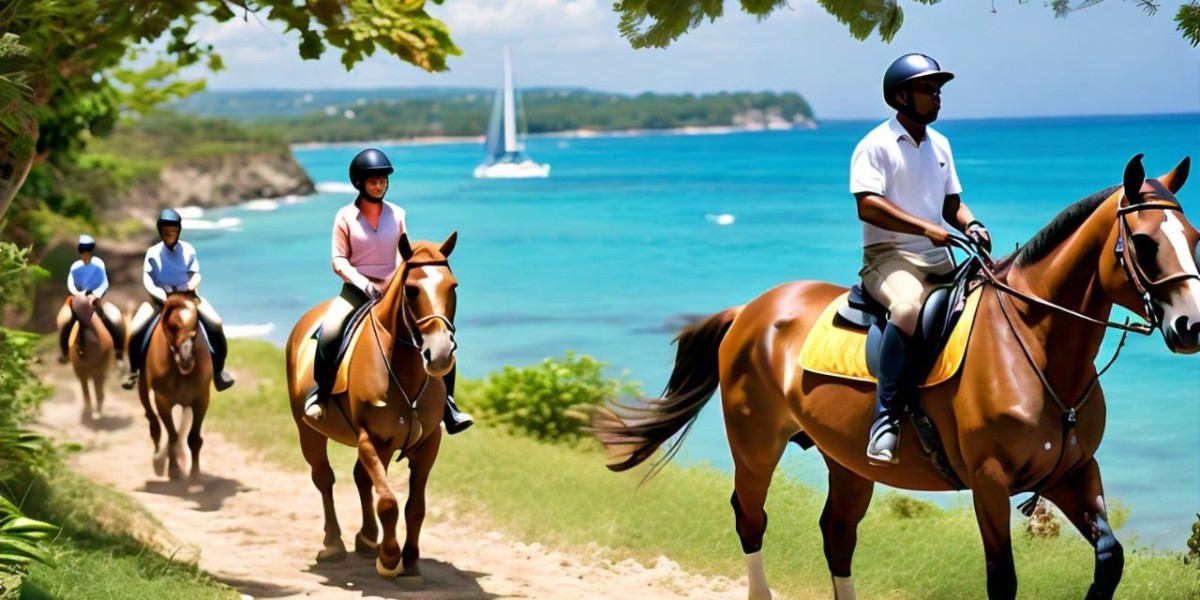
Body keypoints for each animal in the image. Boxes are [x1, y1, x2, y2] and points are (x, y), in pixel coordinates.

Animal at [139, 290, 214, 482]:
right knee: (152, 420)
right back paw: (158, 459)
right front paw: (173, 470)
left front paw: (195, 475)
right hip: (144, 389)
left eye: (195, 325)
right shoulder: (162, 400)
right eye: (171, 326)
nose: (187, 360)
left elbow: (193, 438)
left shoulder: (201, 399)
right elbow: (172, 436)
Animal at [283, 231, 460, 583]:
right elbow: (389, 501)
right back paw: (334, 545)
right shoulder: (370, 438)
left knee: (361, 478)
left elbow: (415, 507)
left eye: (453, 287)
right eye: (412, 290)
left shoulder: (427, 443)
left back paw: (366, 539)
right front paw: (390, 559)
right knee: (324, 478)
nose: (440, 354)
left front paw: (411, 561)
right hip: (310, 432)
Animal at [592, 156, 1200, 600]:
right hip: (755, 444)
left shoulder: (1073, 472)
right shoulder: (990, 480)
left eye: (1193, 237)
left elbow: (1109, 559)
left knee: (837, 534)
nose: (1190, 326)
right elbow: (1001, 579)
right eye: (1145, 243)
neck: (1033, 343)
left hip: (846, 461)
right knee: (751, 519)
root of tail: (751, 310)